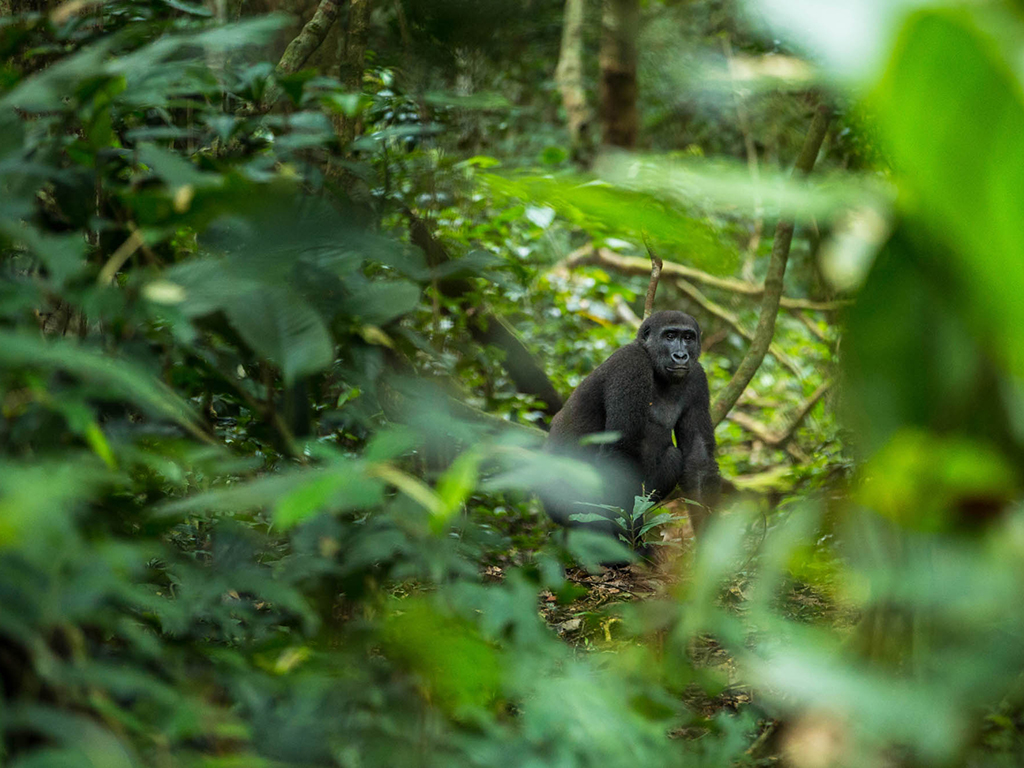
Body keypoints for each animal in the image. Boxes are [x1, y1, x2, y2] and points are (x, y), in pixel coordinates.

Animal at [544, 309, 720, 536]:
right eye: (670, 336)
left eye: (688, 338)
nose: (681, 355)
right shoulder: (631, 365)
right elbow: (620, 450)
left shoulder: (697, 377)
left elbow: (698, 459)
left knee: (673, 458)